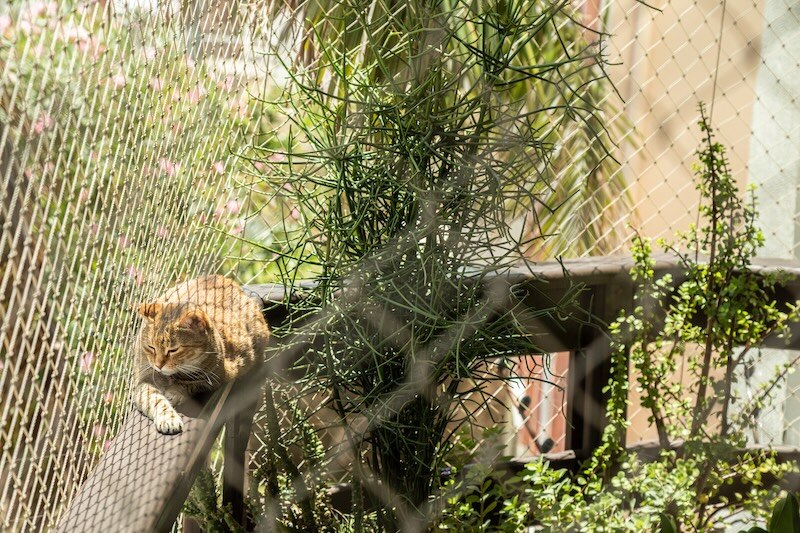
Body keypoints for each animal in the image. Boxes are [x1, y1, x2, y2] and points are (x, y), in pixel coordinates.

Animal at [132, 276, 268, 434]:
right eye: (151, 347)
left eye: (173, 350)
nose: (158, 365)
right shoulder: (145, 379)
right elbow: (155, 399)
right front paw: (168, 418)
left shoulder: (218, 376)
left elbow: (190, 384)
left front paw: (175, 392)